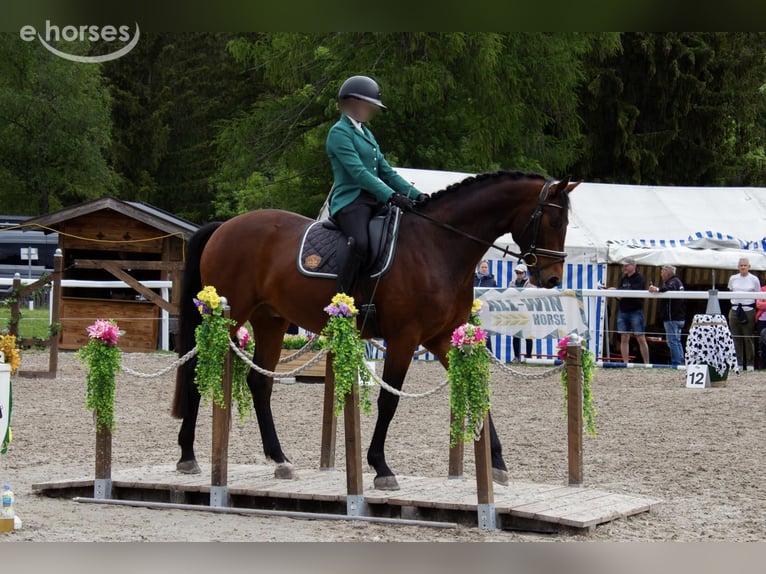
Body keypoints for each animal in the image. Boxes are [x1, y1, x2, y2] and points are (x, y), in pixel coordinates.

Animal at [171, 170, 579, 490]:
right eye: (553, 222)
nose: (552, 278)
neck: (440, 245)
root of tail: (224, 226)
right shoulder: (404, 337)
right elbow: (389, 399)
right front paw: (381, 467)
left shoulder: (442, 338)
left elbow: (476, 389)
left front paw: (497, 463)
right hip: (228, 316)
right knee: (195, 373)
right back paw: (188, 455)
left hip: (270, 320)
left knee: (260, 383)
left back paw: (280, 460)